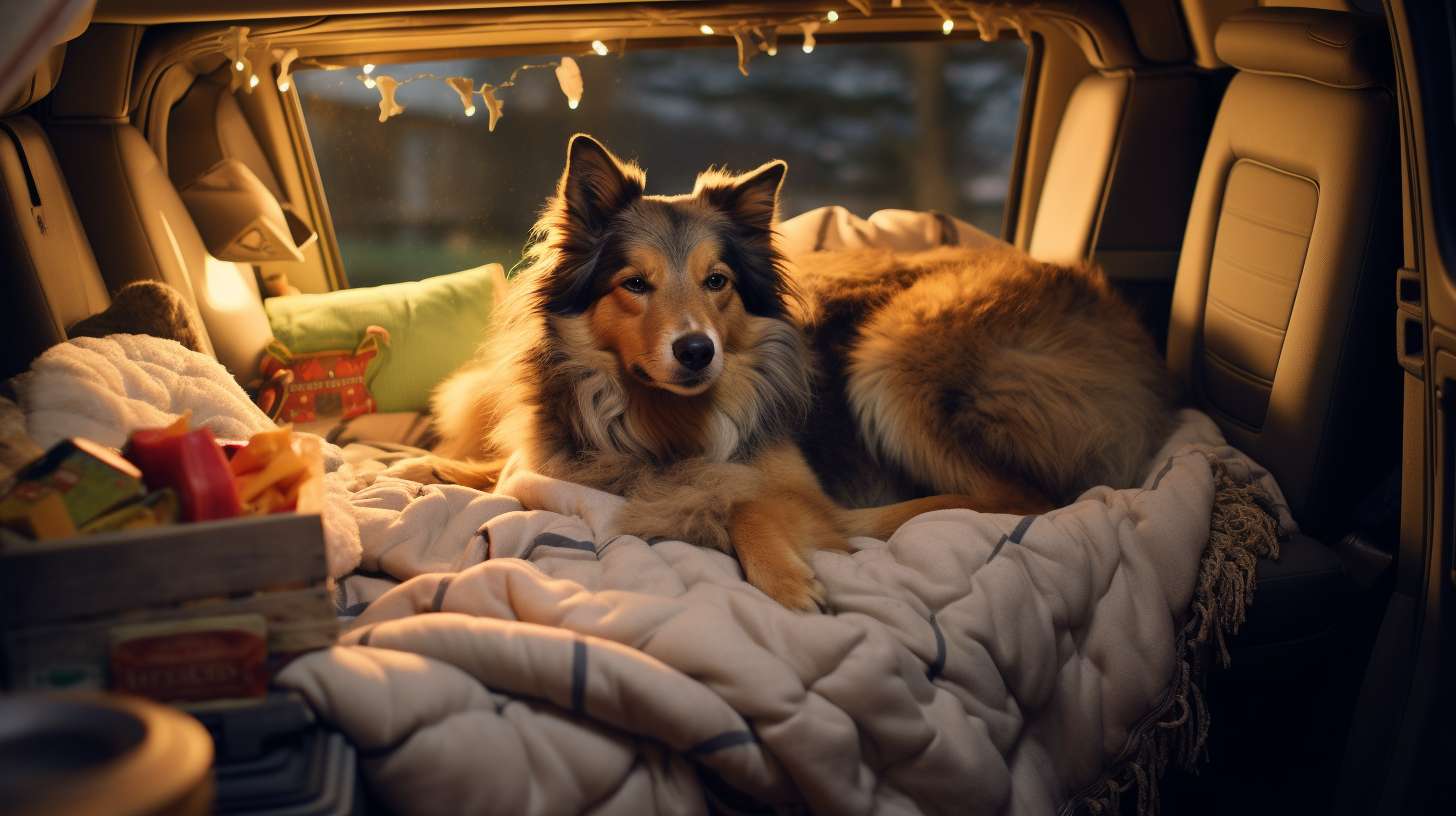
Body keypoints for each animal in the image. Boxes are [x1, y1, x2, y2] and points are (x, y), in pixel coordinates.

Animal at [396, 134, 1170, 609]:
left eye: (717, 281)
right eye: (634, 284)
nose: (697, 350)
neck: (661, 420)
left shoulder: (779, 477)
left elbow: (749, 502)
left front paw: (789, 578)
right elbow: (500, 469)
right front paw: (428, 465)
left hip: (896, 349)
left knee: (1020, 497)